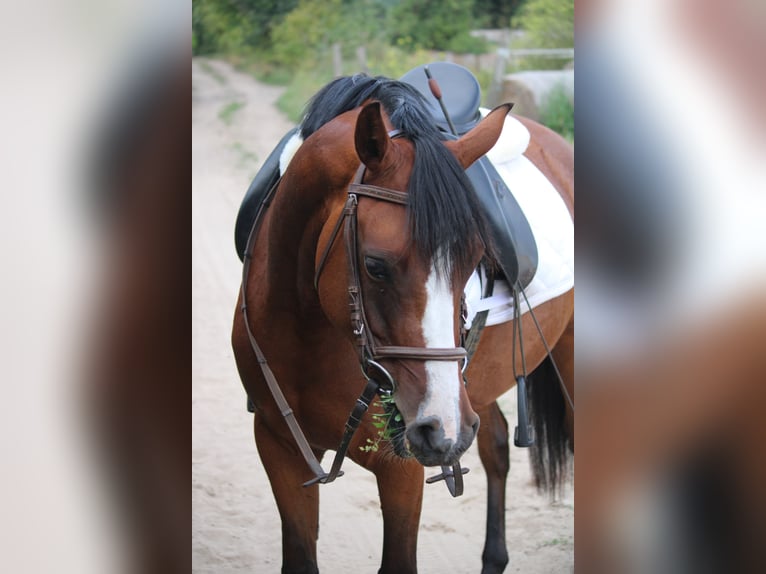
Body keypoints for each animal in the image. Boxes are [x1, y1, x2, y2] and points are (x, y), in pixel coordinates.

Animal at [231, 75, 572, 574]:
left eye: (474, 260)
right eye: (375, 266)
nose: (441, 427)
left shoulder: (402, 468)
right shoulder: (279, 446)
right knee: (494, 446)